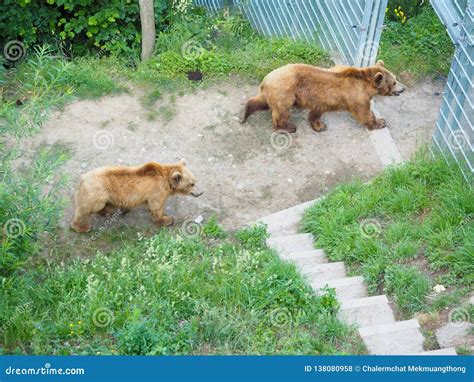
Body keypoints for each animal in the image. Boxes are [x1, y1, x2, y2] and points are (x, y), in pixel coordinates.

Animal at [71, 159, 202, 233]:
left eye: (195, 181)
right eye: (191, 184)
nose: (200, 192)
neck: (167, 184)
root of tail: (83, 178)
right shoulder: (157, 192)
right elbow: (156, 207)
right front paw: (167, 220)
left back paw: (108, 212)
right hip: (96, 194)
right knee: (86, 209)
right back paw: (83, 228)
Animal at [244, 58, 404, 133]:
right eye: (394, 82)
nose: (404, 88)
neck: (366, 85)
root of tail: (265, 80)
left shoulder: (323, 98)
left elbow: (317, 111)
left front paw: (319, 125)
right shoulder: (357, 97)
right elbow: (364, 113)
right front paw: (380, 122)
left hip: (273, 93)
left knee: (261, 102)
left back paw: (245, 112)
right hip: (285, 92)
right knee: (282, 112)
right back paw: (288, 127)